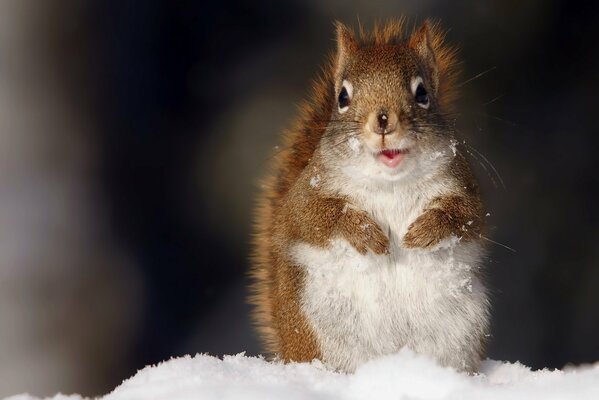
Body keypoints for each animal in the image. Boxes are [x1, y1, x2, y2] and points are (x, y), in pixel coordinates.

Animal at [251, 20, 490, 374]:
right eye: (342, 97)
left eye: (422, 93)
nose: (383, 120)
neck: (389, 182)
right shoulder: (305, 195)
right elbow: (312, 218)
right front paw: (364, 232)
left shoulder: (462, 185)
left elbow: (466, 216)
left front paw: (427, 228)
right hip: (318, 327)